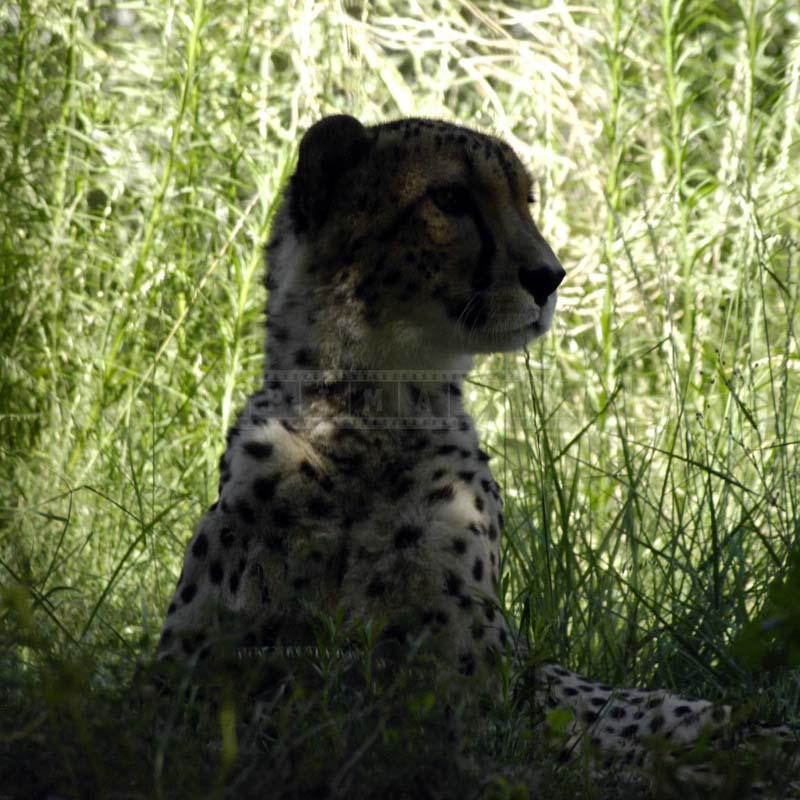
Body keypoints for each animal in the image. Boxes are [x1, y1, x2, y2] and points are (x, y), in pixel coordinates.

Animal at [158, 115, 800, 784]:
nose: (550, 276)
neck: (363, 427)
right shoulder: (186, 697)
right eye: (449, 198)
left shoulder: (477, 711)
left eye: (527, 200)